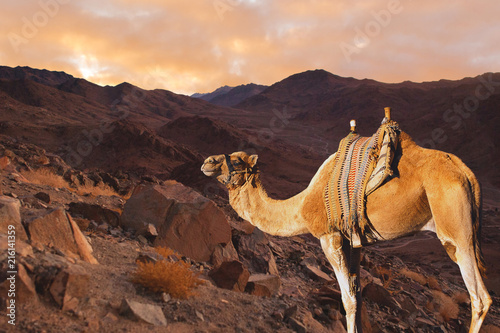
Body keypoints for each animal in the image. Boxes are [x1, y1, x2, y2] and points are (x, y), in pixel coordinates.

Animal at [200, 128, 492, 330]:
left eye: (237, 162)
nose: (207, 161)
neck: (302, 206)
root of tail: (466, 174)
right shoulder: (354, 242)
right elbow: (358, 296)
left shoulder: (330, 237)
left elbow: (347, 299)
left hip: (456, 230)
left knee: (479, 298)